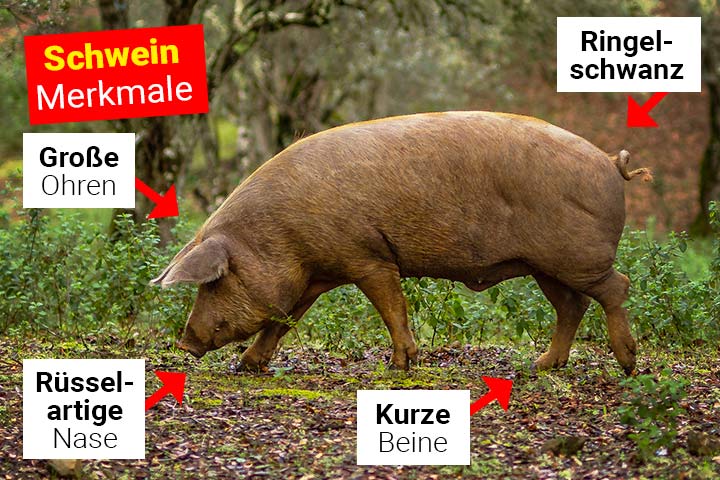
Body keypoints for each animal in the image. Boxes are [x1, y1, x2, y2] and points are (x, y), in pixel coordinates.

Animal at [152, 111, 651, 375]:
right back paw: (542, 366)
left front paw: (399, 365)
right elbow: (284, 321)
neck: (281, 236)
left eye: (213, 283)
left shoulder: (367, 256)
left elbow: (391, 306)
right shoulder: (313, 275)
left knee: (617, 288)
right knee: (572, 306)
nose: (184, 344)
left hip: (575, 257)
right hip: (546, 265)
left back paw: (627, 364)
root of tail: (611, 163)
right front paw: (247, 366)